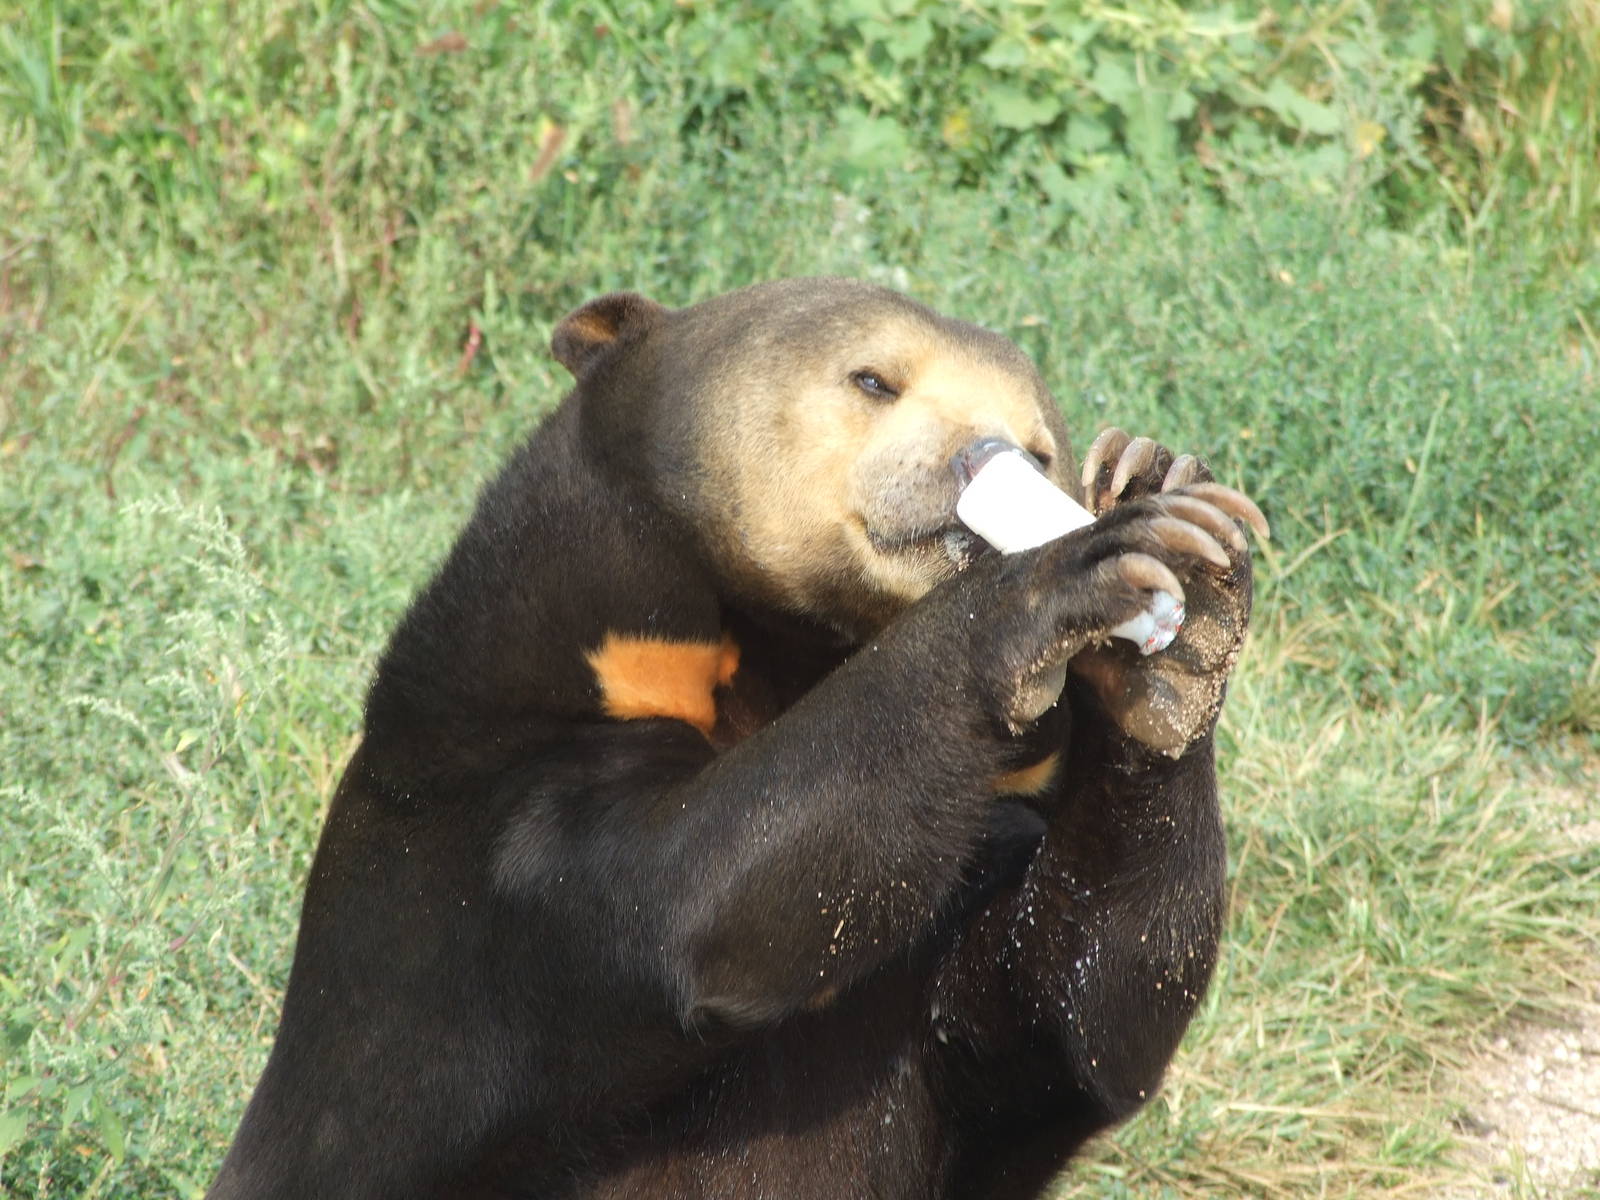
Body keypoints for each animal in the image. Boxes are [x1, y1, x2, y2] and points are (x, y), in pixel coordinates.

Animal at [206, 277, 1266, 1200]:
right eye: (873, 379)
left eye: (1042, 449)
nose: (983, 456)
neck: (771, 660)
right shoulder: (496, 802)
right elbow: (701, 898)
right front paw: (1075, 563)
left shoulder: (976, 902)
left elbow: (1078, 1009)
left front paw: (1173, 537)